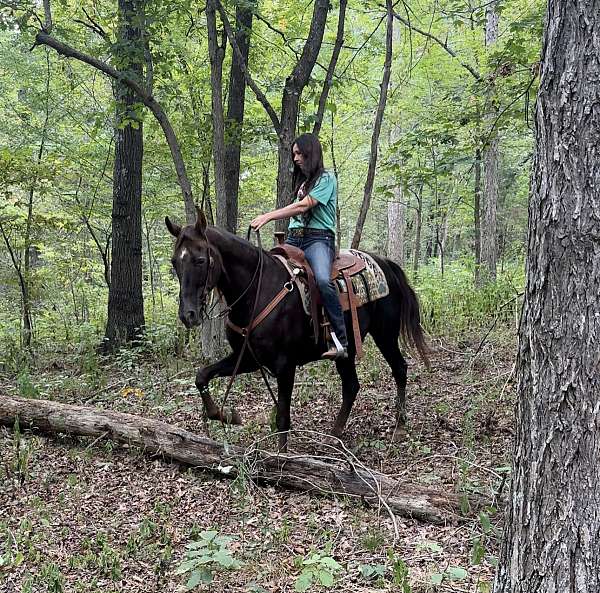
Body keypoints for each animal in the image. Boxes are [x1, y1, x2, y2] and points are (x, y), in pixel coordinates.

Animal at [166, 210, 428, 446]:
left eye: (200, 260)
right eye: (174, 262)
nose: (188, 315)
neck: (257, 290)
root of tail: (384, 263)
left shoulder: (285, 364)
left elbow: (283, 417)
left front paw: (282, 462)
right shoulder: (248, 358)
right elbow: (202, 376)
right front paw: (229, 416)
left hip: (385, 334)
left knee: (399, 369)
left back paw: (400, 425)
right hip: (348, 350)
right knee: (352, 386)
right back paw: (335, 435)